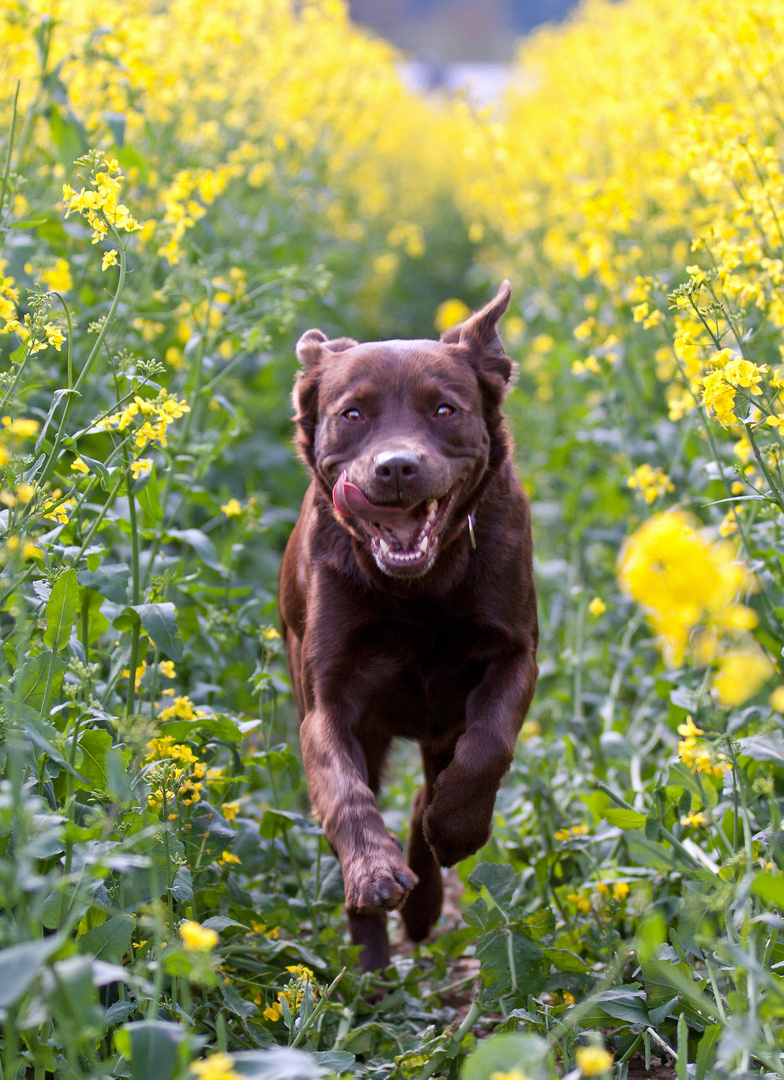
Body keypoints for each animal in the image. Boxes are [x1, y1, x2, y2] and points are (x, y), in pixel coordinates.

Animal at [280, 278, 539, 972]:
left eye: (445, 410)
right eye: (352, 415)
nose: (396, 467)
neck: (420, 589)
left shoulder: (514, 656)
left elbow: (488, 745)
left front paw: (457, 829)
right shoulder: (329, 702)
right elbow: (345, 793)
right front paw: (374, 871)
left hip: (440, 721)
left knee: (433, 785)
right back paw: (373, 968)